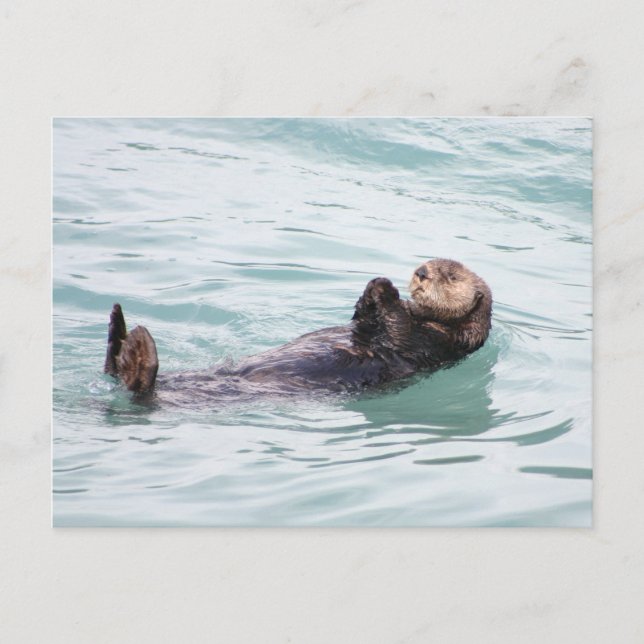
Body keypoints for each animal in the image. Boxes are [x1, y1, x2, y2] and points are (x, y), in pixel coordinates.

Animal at [104, 259, 492, 400]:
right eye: (426, 262)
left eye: (451, 276)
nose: (421, 272)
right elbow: (363, 323)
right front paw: (371, 291)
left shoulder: (438, 343)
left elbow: (399, 331)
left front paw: (385, 289)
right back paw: (118, 332)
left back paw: (134, 351)